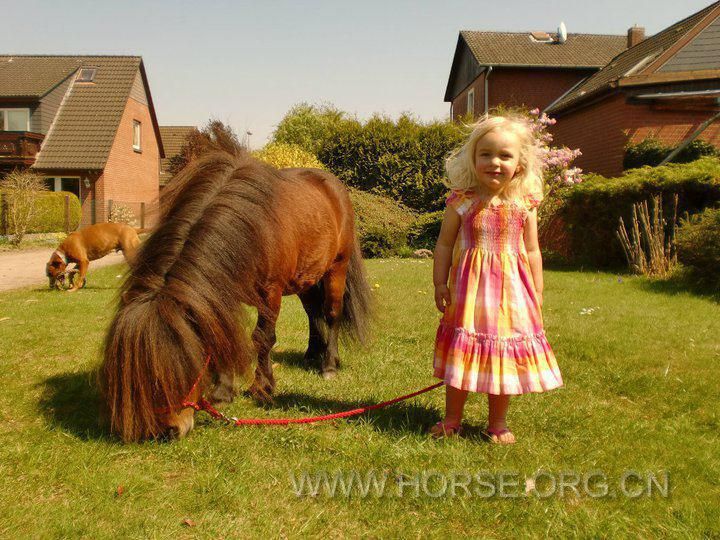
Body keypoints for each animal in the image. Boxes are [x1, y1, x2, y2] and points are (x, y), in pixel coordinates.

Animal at [100, 146, 374, 440]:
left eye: (174, 367)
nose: (168, 430)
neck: (249, 226)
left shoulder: (270, 293)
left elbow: (263, 338)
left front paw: (262, 388)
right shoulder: (222, 293)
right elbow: (221, 335)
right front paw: (223, 392)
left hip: (336, 268)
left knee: (331, 313)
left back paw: (329, 364)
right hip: (307, 278)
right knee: (313, 313)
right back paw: (312, 353)